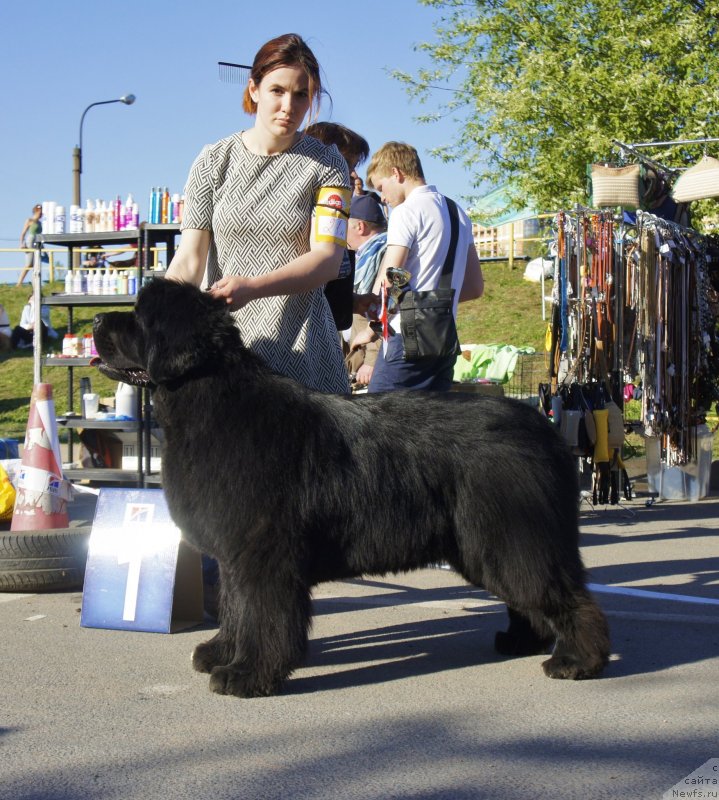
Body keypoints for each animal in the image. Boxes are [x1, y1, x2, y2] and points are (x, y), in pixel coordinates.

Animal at [94, 278, 612, 696]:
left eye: (139, 316)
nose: (97, 317)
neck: (210, 400)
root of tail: (543, 428)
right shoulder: (234, 556)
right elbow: (235, 608)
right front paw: (222, 653)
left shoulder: (263, 555)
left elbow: (260, 615)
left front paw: (247, 675)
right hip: (487, 546)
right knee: (530, 598)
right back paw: (522, 641)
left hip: (513, 538)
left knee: (565, 596)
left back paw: (577, 661)